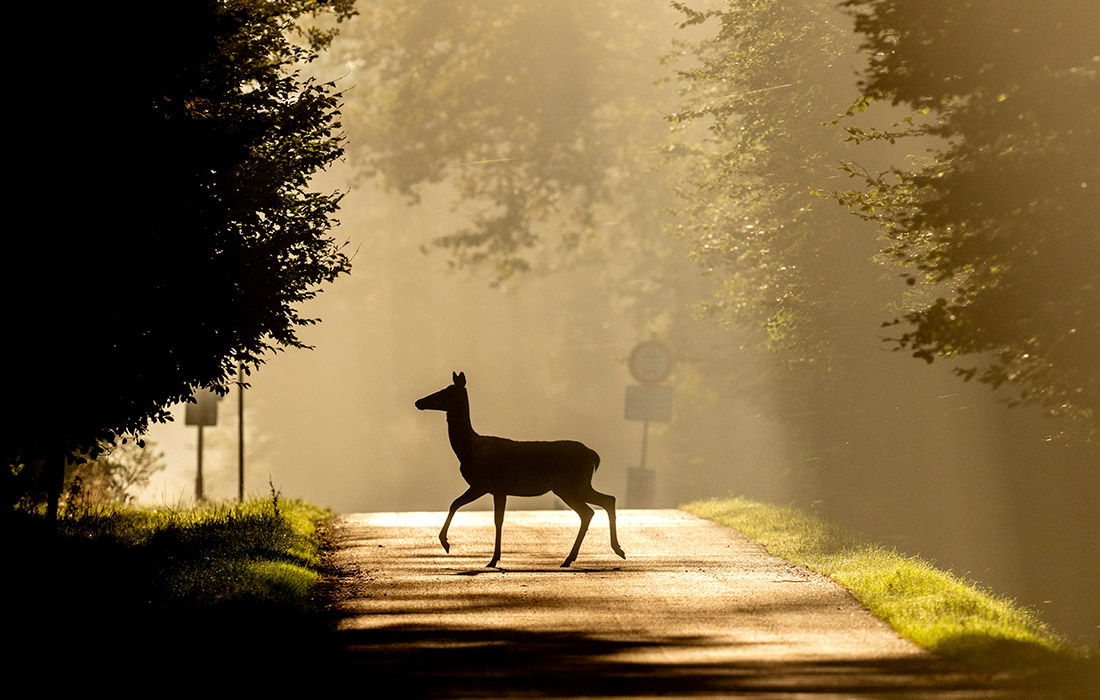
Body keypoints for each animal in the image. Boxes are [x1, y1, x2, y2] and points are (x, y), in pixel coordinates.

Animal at [413, 372, 629, 567]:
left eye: (446, 391)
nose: (418, 401)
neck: (468, 451)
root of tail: (593, 456)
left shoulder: (487, 484)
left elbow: (465, 508)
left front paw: (451, 545)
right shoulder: (495, 489)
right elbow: (480, 513)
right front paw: (491, 557)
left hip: (569, 485)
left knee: (589, 510)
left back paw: (578, 557)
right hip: (577, 485)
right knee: (605, 501)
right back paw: (606, 551)